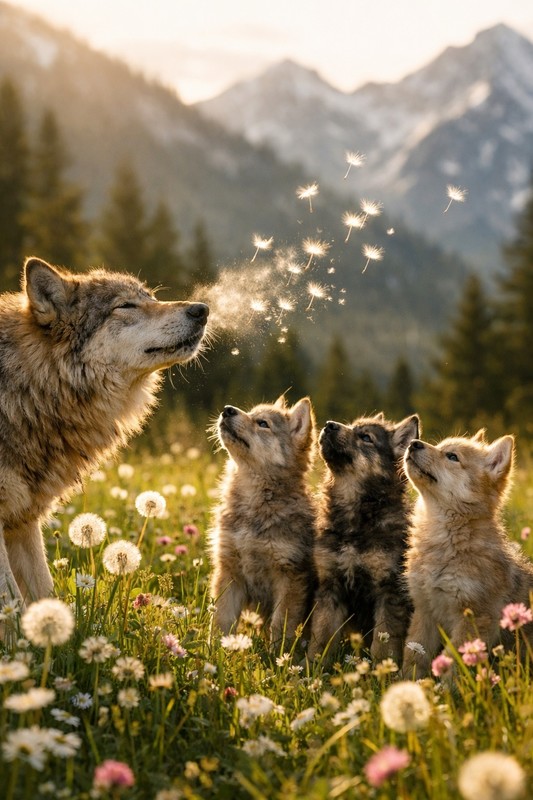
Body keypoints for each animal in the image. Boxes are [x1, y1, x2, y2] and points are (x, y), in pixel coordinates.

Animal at [0, 257, 208, 605]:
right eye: (126, 305)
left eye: (151, 297)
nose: (202, 309)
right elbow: (11, 602)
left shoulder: (23, 521)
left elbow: (43, 596)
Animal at [208, 396, 317, 644]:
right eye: (250, 413)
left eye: (263, 423)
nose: (227, 410)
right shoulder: (229, 572)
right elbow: (221, 622)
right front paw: (216, 649)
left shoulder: (289, 578)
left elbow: (280, 628)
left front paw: (277, 654)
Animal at [308, 413, 419, 663]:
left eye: (366, 437)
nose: (328, 425)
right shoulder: (331, 586)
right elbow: (322, 637)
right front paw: (312, 667)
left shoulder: (389, 592)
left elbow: (383, 643)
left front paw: (382, 669)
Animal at [402, 431, 533, 678]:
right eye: (440, 447)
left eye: (452, 456)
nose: (413, 444)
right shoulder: (425, 610)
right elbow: (415, 657)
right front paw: (404, 684)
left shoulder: (474, 619)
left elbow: (452, 666)